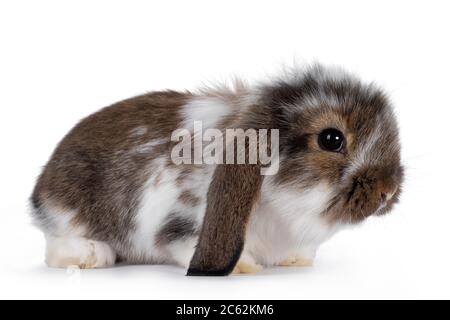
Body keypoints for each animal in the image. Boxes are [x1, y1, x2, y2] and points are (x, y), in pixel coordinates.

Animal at [31, 64, 404, 276]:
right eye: (331, 138)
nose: (387, 191)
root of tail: (40, 189)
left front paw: (295, 261)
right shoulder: (180, 222)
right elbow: (182, 242)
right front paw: (243, 266)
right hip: (68, 212)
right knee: (55, 247)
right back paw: (93, 255)